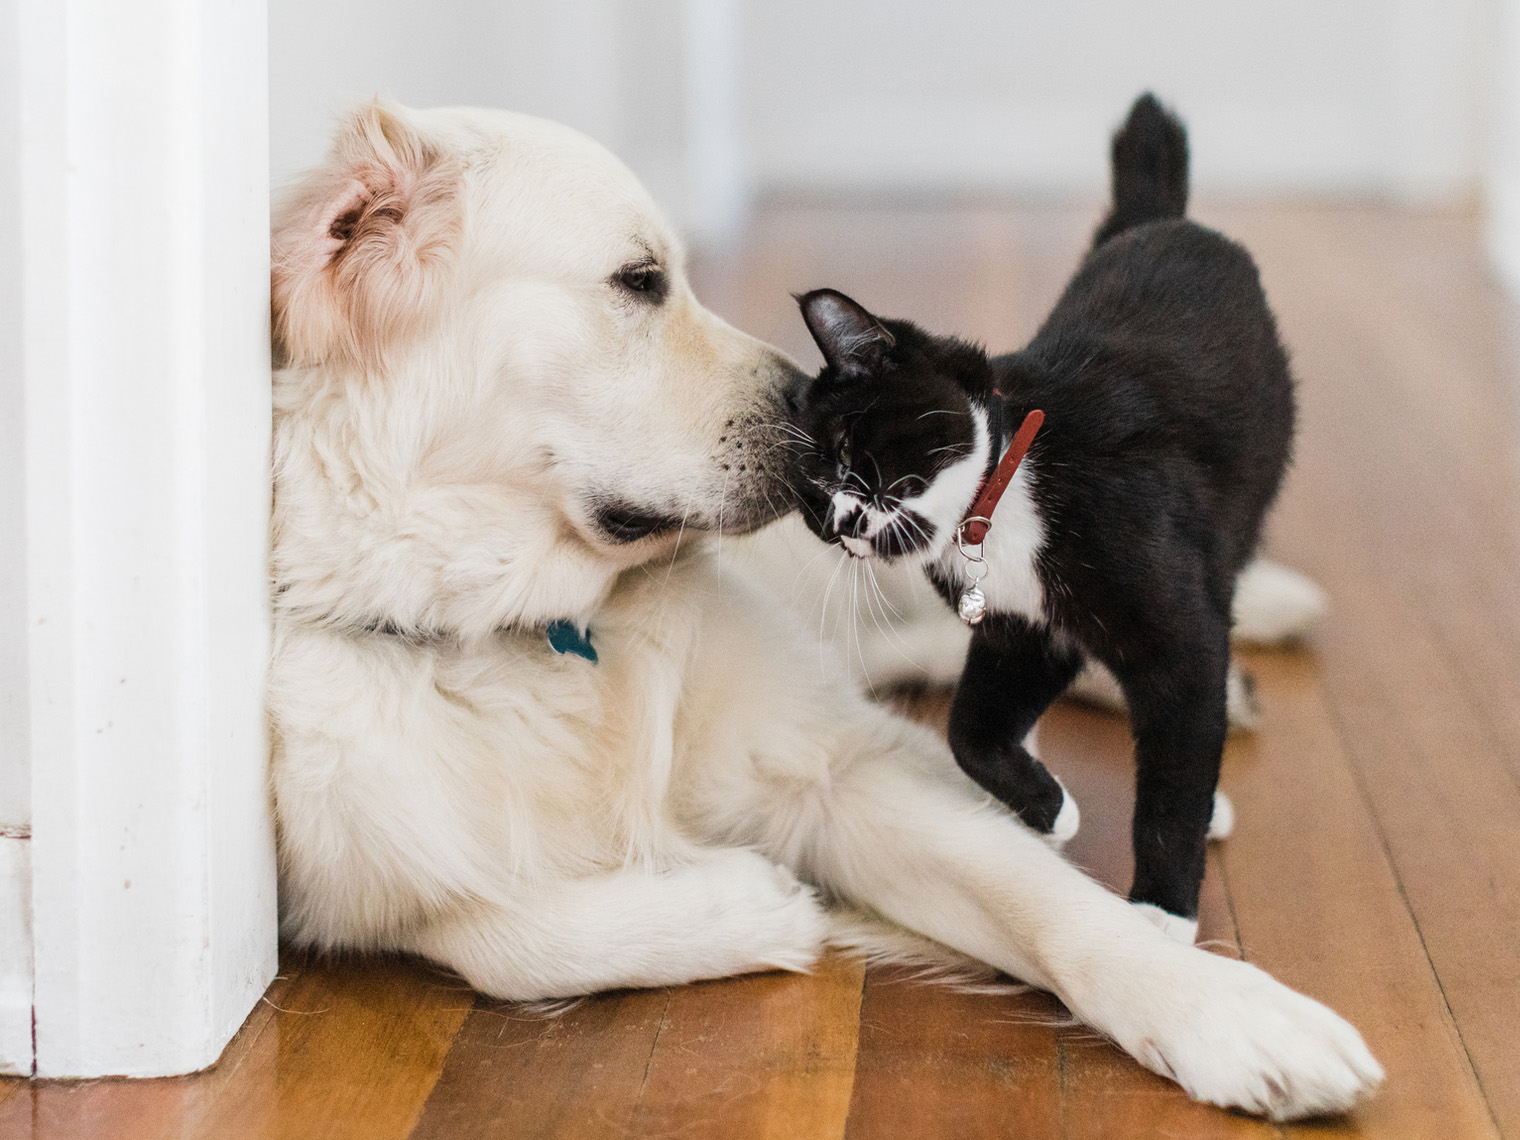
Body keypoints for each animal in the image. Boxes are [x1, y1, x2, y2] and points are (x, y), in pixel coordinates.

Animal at [796, 93, 1295, 942]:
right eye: (812, 505)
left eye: (848, 448)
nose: (846, 522)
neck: (1002, 501)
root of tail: (1160, 222)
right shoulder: (1026, 630)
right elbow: (969, 730)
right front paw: (1047, 807)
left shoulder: (1173, 633)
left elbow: (1176, 764)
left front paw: (1161, 912)